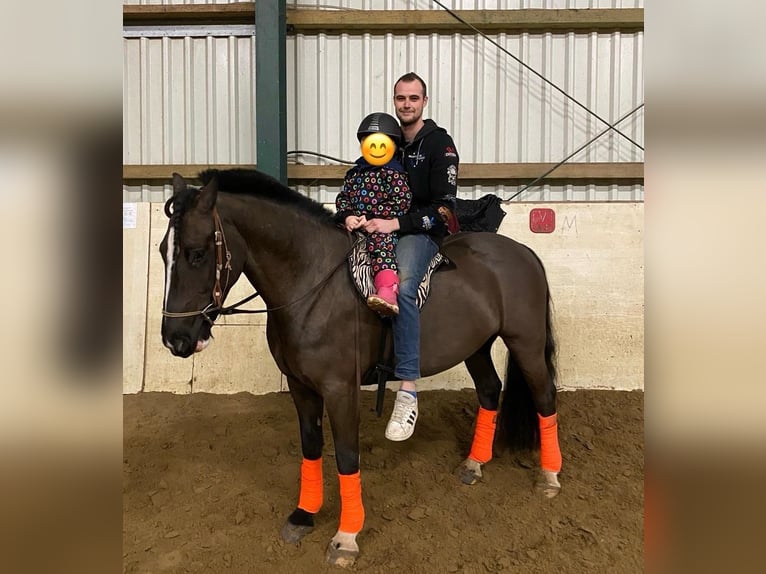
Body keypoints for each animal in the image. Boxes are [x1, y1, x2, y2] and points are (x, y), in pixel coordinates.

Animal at [159, 169, 560, 568]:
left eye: (196, 253)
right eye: (164, 251)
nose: (175, 339)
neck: (312, 284)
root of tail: (524, 252)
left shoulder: (340, 389)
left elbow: (347, 456)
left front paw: (346, 538)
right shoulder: (300, 386)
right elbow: (311, 447)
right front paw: (304, 515)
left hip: (525, 342)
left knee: (544, 398)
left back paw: (550, 477)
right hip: (475, 346)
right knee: (490, 391)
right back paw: (474, 465)